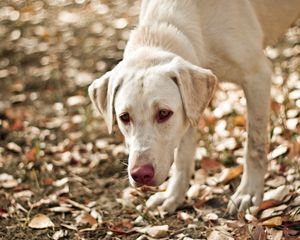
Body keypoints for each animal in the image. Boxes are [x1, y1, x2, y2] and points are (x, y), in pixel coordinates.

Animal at [89, 0, 300, 214]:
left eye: (163, 113)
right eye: (124, 117)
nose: (140, 175)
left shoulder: (257, 76)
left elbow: (254, 146)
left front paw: (248, 192)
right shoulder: (190, 108)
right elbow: (183, 156)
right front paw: (173, 195)